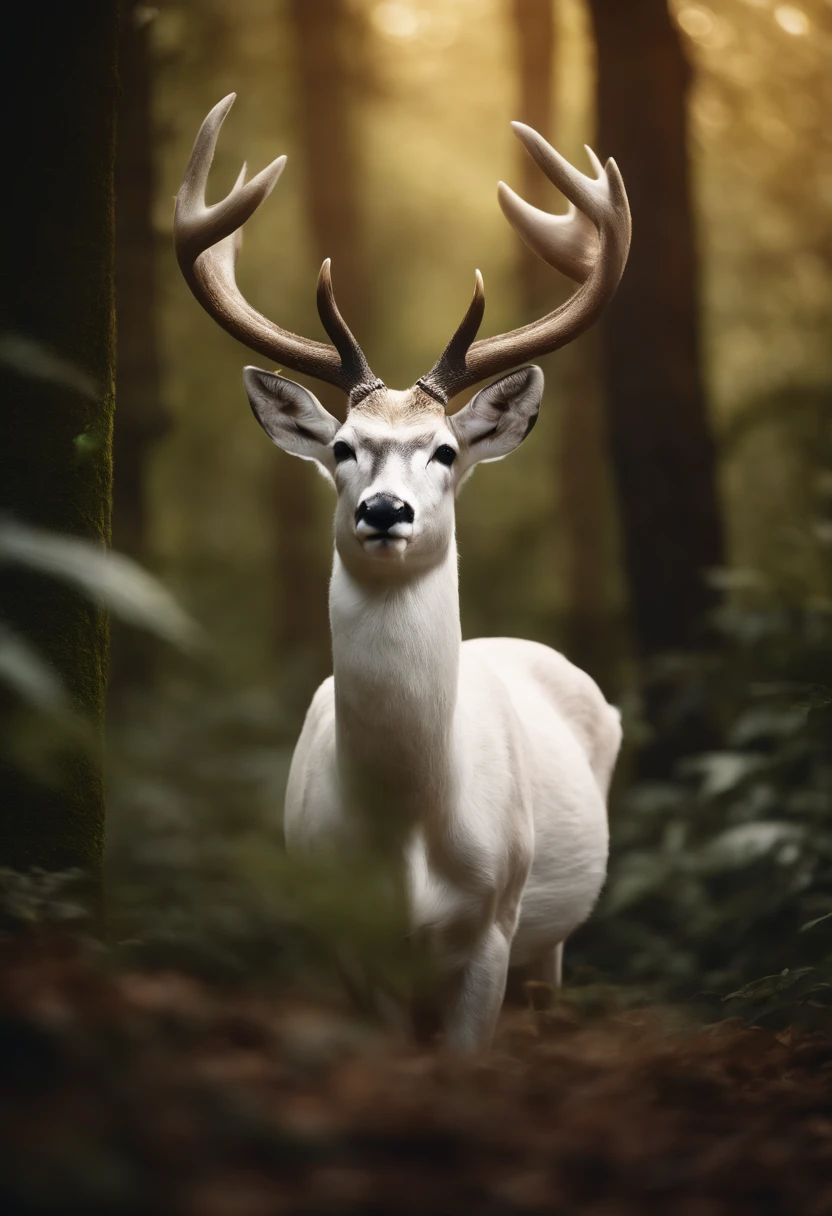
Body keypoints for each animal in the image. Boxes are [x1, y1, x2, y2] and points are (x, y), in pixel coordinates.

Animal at [175, 94, 632, 1050]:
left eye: (447, 451)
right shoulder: (348, 947)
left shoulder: (493, 925)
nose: (385, 511)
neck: (408, 841)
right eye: (343, 448)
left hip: (548, 938)